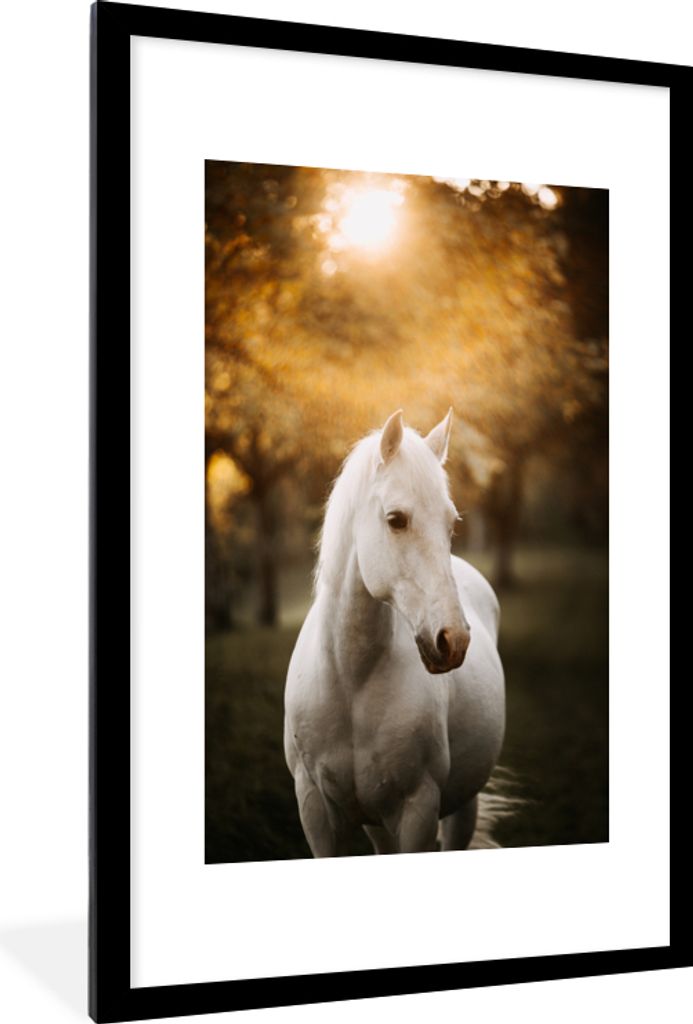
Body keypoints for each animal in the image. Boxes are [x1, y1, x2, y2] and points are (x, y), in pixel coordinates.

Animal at [284, 409, 506, 856]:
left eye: (451, 522)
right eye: (396, 520)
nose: (453, 640)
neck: (350, 679)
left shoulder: (418, 809)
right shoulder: (313, 808)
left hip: (463, 807)